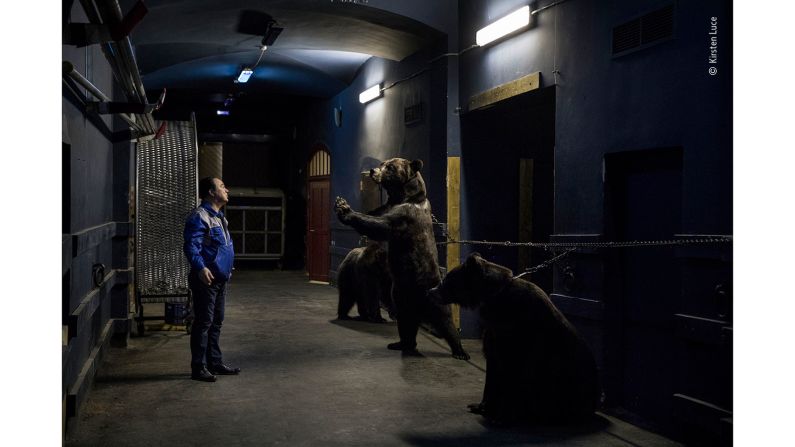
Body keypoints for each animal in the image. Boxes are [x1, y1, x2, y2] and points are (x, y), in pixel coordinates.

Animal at [334, 158, 470, 360]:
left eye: (389, 167)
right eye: (382, 164)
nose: (373, 171)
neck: (403, 196)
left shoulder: (406, 215)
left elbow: (380, 225)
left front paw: (345, 210)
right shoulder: (386, 207)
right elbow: (373, 214)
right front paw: (340, 203)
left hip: (428, 291)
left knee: (444, 319)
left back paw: (460, 351)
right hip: (400, 292)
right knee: (406, 320)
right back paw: (401, 343)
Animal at [432, 254, 600, 426]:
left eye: (448, 278)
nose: (431, 290)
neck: (493, 297)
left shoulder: (517, 335)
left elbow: (514, 376)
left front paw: (501, 417)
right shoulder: (493, 334)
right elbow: (492, 372)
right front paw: (481, 406)